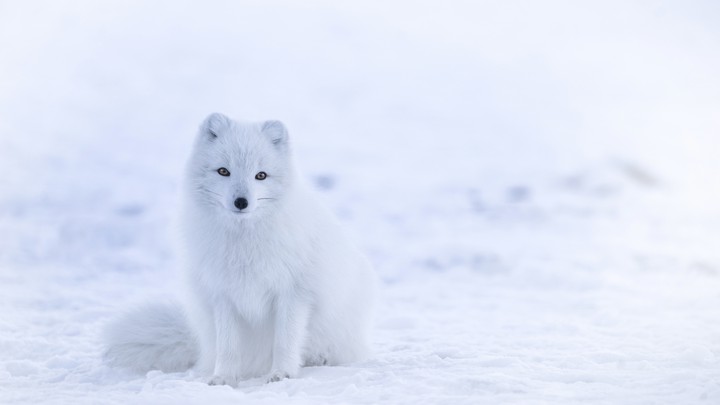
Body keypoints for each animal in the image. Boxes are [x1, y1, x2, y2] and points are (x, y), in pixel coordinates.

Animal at [103, 113, 377, 386]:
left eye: (261, 175)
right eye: (224, 171)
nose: (241, 202)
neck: (244, 243)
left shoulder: (293, 293)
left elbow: (285, 341)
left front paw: (282, 374)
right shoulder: (223, 295)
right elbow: (228, 346)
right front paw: (223, 378)